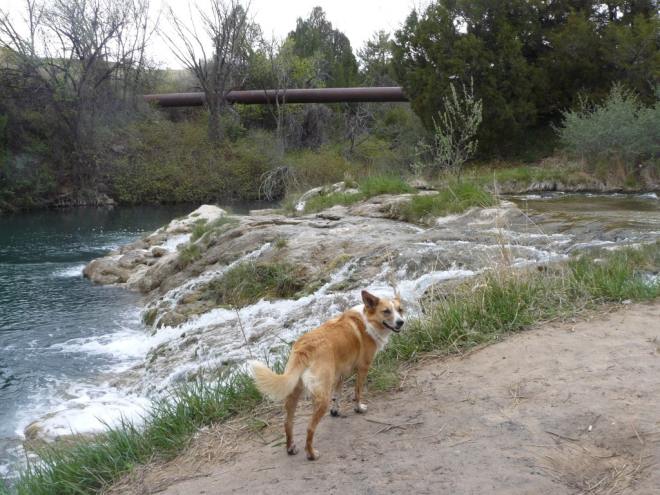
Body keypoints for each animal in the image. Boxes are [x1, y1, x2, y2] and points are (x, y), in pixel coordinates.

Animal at [249, 290, 402, 462]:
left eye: (400, 310)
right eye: (386, 311)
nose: (401, 322)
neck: (367, 320)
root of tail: (305, 348)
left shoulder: (339, 375)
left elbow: (338, 395)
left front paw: (336, 411)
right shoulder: (363, 368)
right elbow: (357, 393)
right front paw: (359, 408)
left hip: (294, 395)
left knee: (288, 423)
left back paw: (290, 448)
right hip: (322, 398)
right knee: (309, 428)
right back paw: (311, 453)